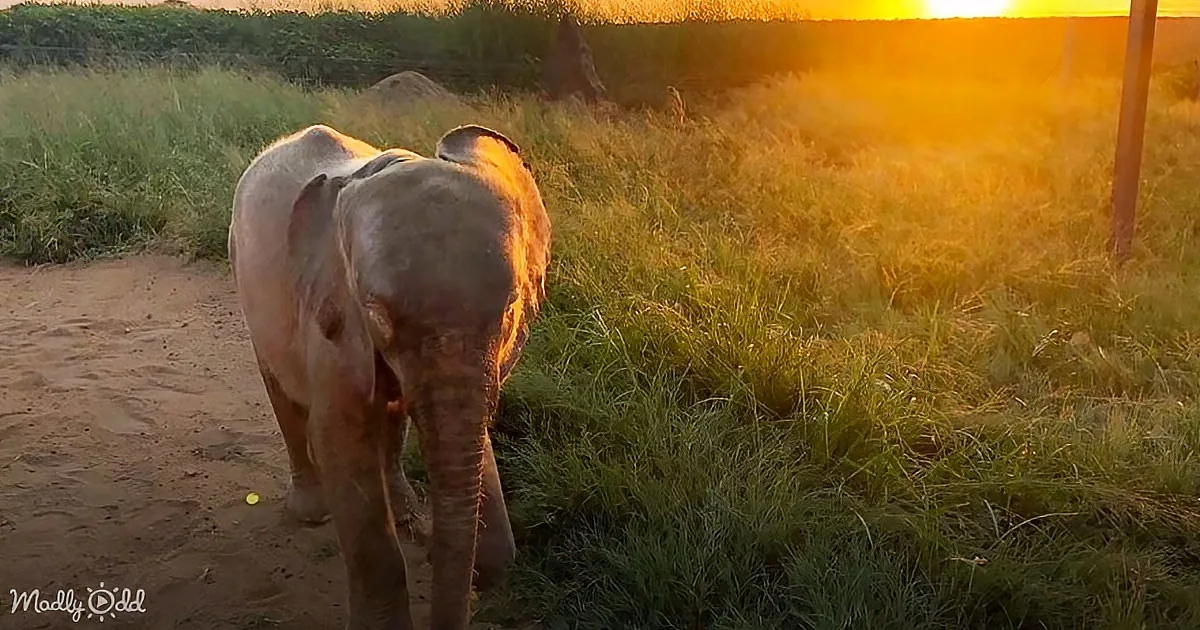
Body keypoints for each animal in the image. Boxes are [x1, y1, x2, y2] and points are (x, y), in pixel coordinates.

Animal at [227, 122, 551, 629]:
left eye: (511, 311)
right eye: (376, 313)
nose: (439, 557)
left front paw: (477, 563)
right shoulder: (333, 315)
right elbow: (338, 438)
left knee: (392, 413)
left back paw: (404, 514)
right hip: (244, 273)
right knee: (283, 393)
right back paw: (311, 514)